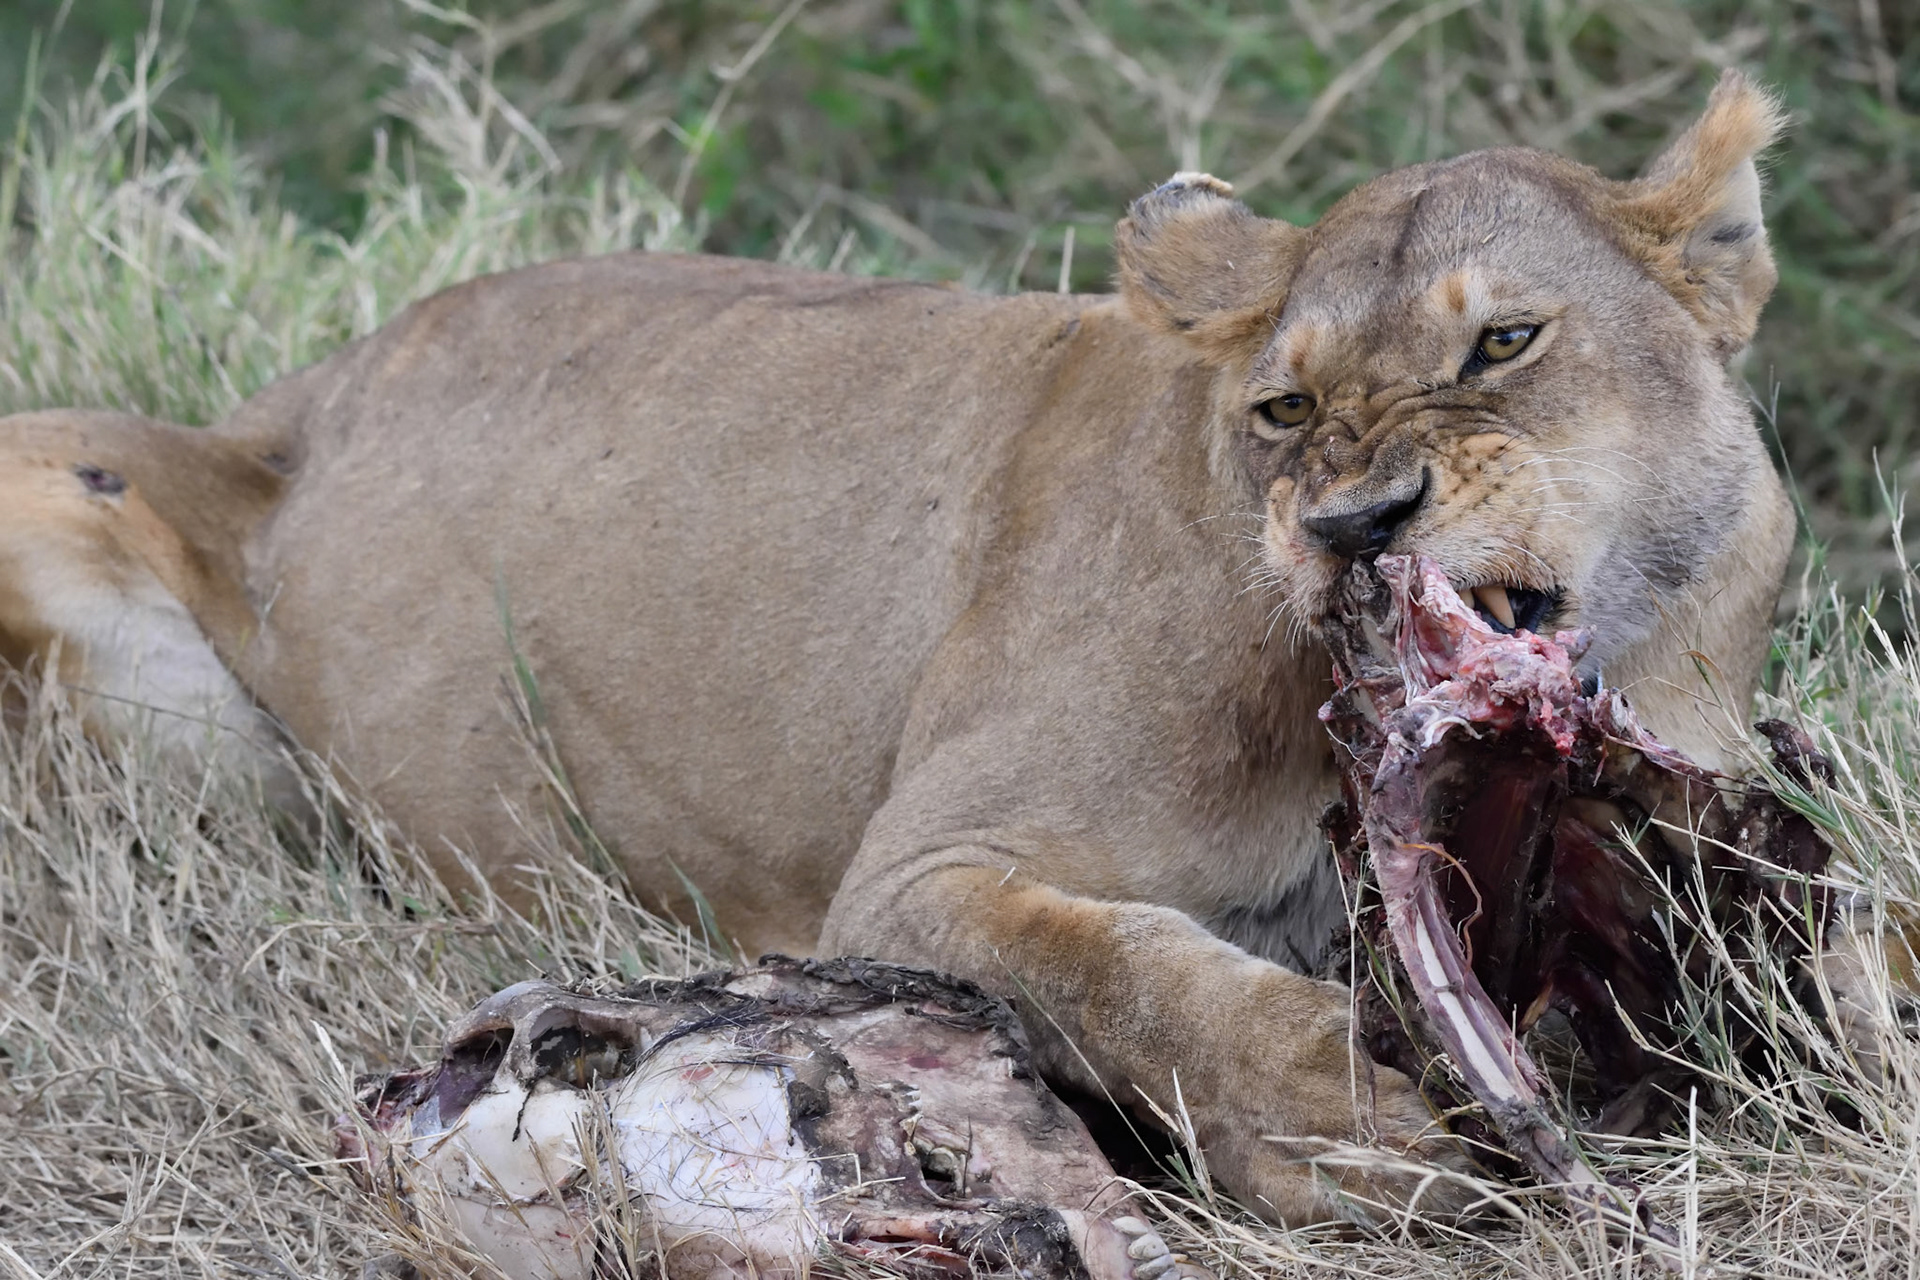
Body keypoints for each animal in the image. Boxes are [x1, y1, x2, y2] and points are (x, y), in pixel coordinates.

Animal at [0, 72, 1798, 1224]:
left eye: (1506, 344)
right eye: (1285, 410)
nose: (1355, 523)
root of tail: (279, 407)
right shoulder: (908, 879)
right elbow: (1121, 968)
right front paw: (1342, 1125)